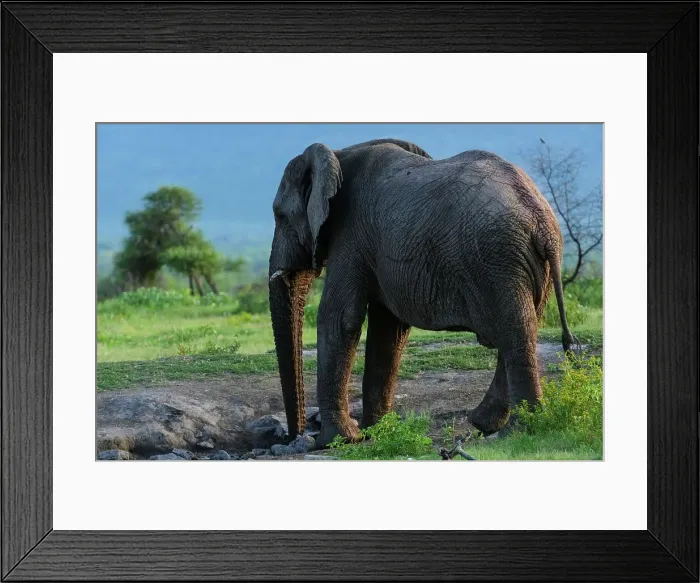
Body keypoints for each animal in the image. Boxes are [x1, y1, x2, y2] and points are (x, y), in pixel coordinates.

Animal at [268, 138, 578, 448]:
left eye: (280, 216)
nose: (295, 436)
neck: (338, 154)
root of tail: (542, 220)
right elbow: (388, 329)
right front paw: (375, 431)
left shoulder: (351, 235)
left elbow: (340, 318)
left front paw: (336, 441)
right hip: (526, 265)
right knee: (523, 330)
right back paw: (487, 424)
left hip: (497, 259)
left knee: (514, 333)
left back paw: (518, 432)